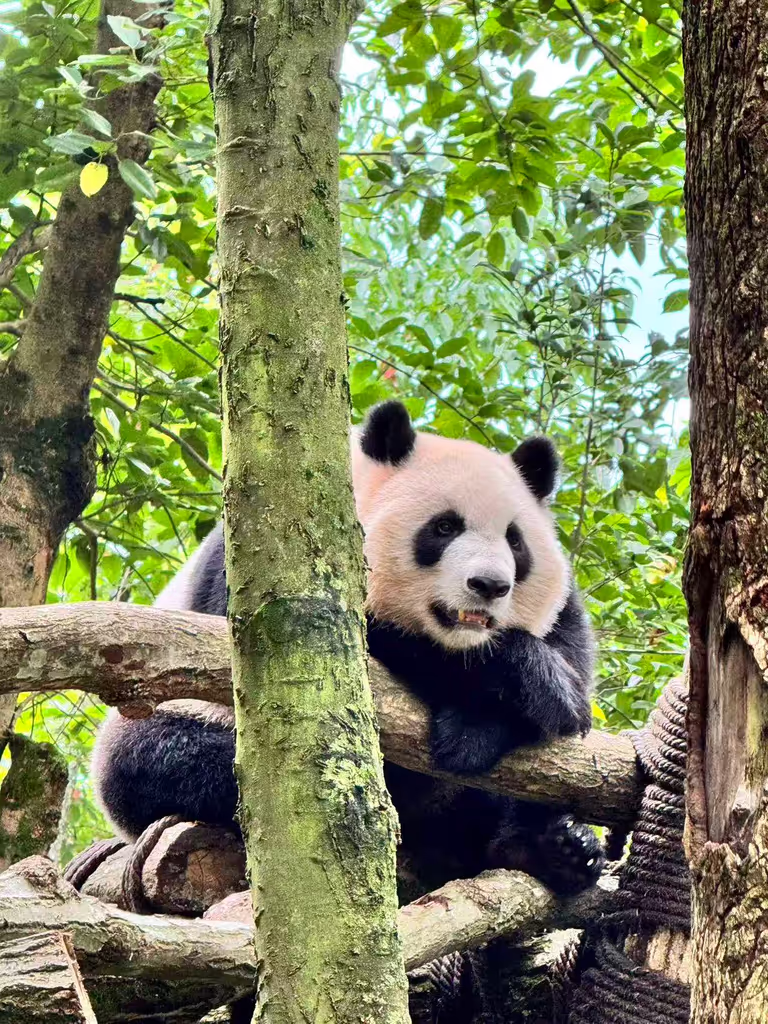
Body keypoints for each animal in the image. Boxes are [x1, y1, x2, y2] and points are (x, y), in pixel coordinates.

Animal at [92, 400, 604, 900]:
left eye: (515, 541)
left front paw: (508, 712)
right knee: (163, 760)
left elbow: (570, 651)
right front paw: (519, 686)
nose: (490, 585)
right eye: (443, 528)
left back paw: (553, 849)